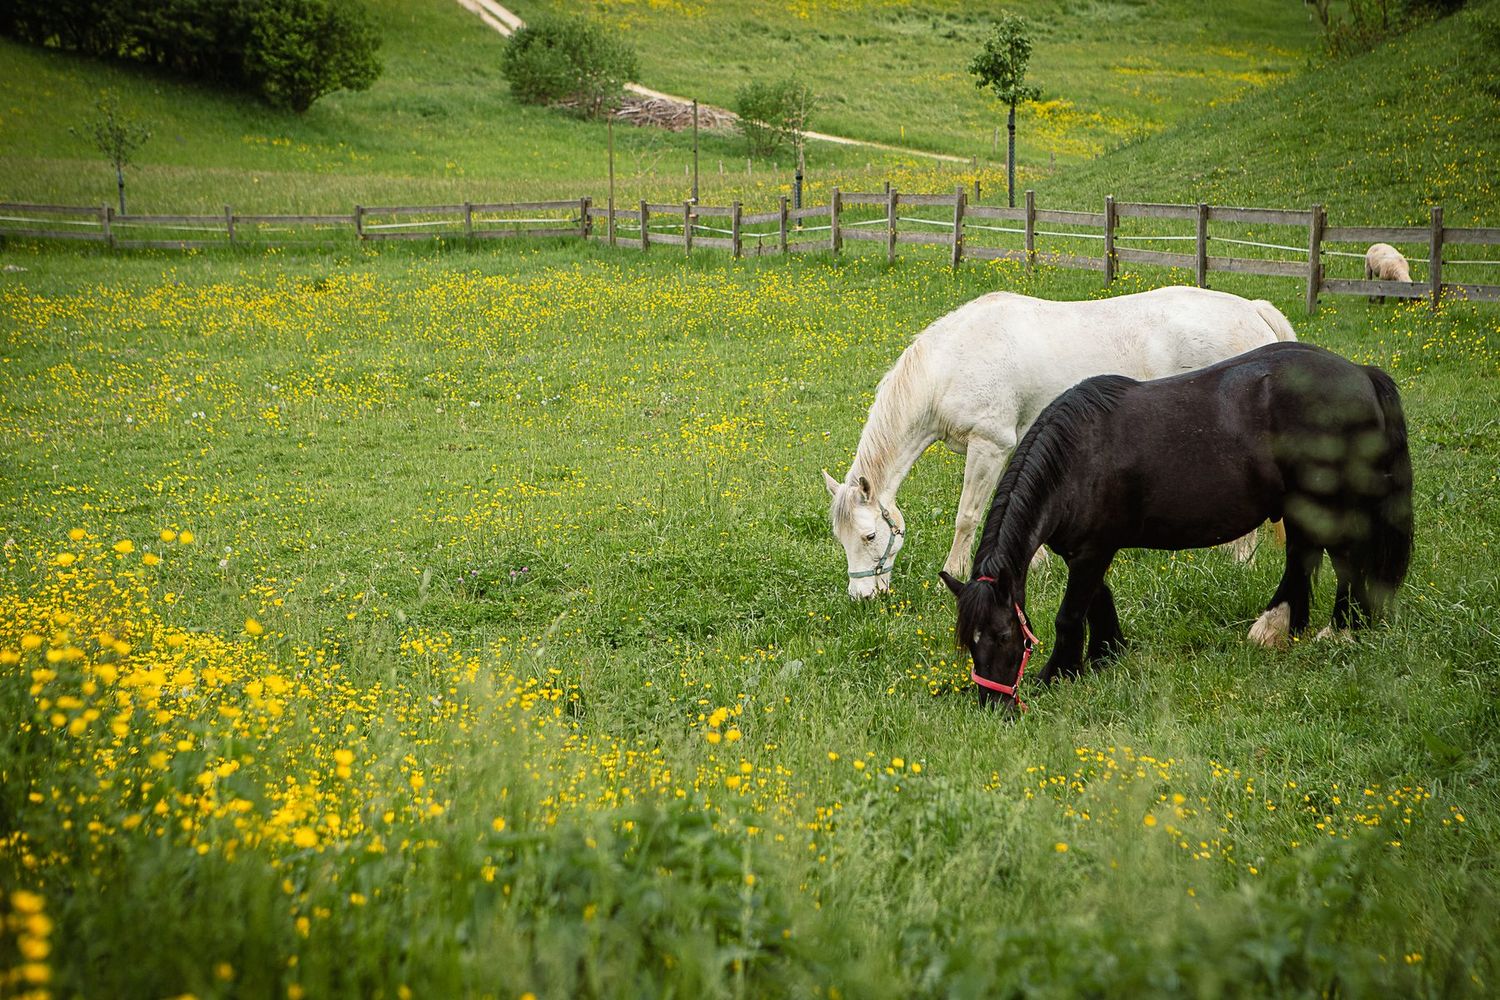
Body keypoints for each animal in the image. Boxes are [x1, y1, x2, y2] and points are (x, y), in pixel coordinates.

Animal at [824, 285, 1299, 598]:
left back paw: (1240, 562)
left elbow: (967, 516)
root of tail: (1253, 310)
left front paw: (952, 573)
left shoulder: (989, 445)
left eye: (869, 535)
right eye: (841, 539)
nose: (862, 597)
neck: (952, 363)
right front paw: (1037, 566)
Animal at [939, 341, 1413, 709]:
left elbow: (1070, 615)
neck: (1076, 460)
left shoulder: (1092, 552)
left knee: (1344, 560)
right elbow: (1099, 602)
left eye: (1004, 635)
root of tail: (1362, 374)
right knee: (1302, 556)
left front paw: (1059, 673)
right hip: (1299, 504)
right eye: (970, 642)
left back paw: (1339, 633)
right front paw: (1106, 656)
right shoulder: (1086, 552)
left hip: (1328, 502)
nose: (993, 703)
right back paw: (1278, 629)